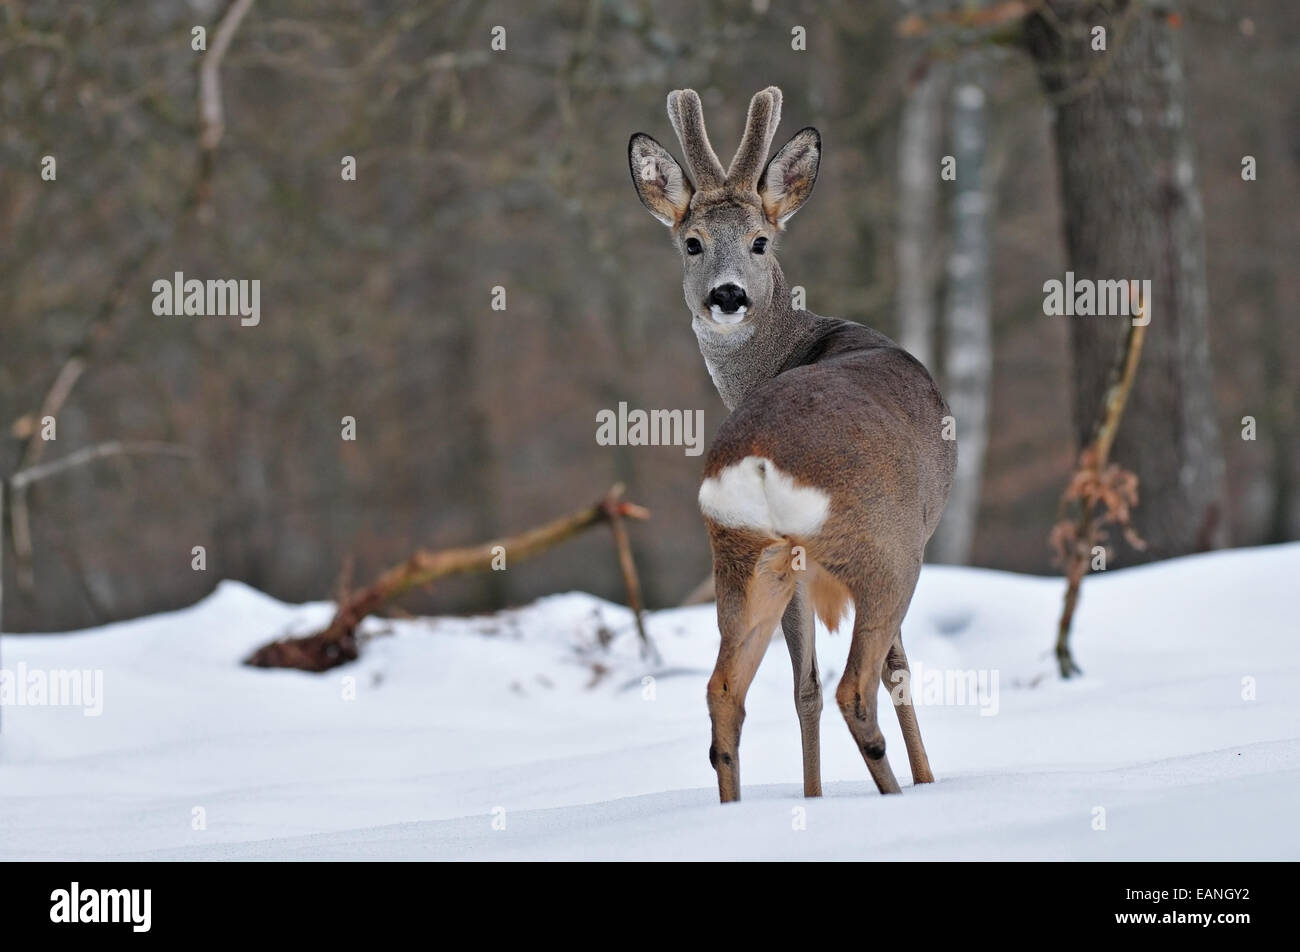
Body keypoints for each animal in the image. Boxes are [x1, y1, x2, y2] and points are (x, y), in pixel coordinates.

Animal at [629, 87, 956, 803]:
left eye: (759, 240)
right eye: (692, 243)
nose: (727, 295)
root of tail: (757, 459)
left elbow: (801, 685)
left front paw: (814, 795)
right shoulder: (912, 534)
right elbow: (897, 671)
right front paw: (928, 779)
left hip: (746, 555)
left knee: (727, 689)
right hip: (882, 548)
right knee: (857, 685)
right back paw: (897, 793)